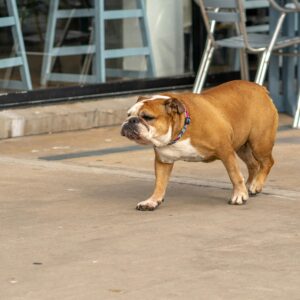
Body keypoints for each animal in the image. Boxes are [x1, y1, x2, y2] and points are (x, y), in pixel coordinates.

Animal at [120, 80, 278, 211]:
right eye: (128, 114)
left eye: (147, 117)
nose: (131, 121)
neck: (182, 128)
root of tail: (260, 88)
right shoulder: (163, 161)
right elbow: (159, 183)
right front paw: (152, 201)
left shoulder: (226, 152)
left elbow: (234, 175)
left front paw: (239, 195)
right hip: (241, 147)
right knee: (253, 165)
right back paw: (250, 185)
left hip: (259, 143)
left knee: (267, 162)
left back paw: (256, 185)